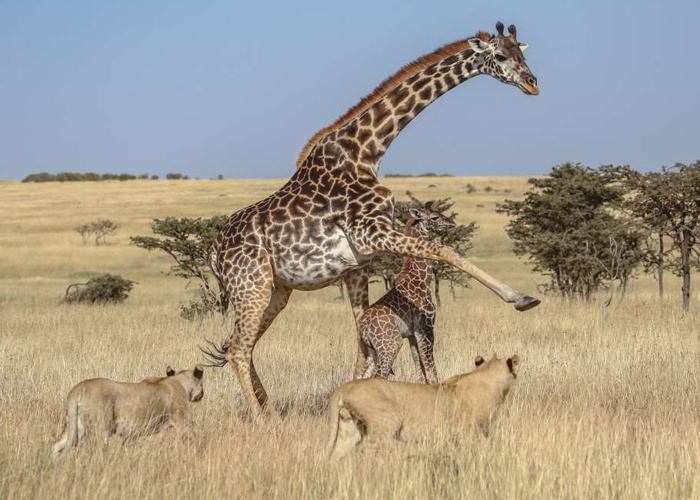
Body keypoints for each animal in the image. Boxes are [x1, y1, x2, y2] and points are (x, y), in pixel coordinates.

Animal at [51, 364, 205, 460]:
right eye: (202, 384)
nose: (202, 394)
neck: (179, 381)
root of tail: (76, 390)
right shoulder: (183, 422)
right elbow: (196, 441)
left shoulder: (133, 435)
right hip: (101, 429)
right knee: (98, 450)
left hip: (76, 427)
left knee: (56, 445)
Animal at [326, 354, 516, 458]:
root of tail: (346, 386)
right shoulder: (468, 432)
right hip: (387, 422)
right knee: (365, 450)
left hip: (349, 427)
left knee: (337, 453)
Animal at [360, 205, 454, 384]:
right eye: (434, 217)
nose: (452, 222)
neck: (421, 280)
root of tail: (364, 326)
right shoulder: (426, 327)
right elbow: (432, 373)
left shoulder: (412, 334)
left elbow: (421, 373)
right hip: (391, 345)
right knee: (378, 375)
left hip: (372, 350)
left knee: (361, 375)